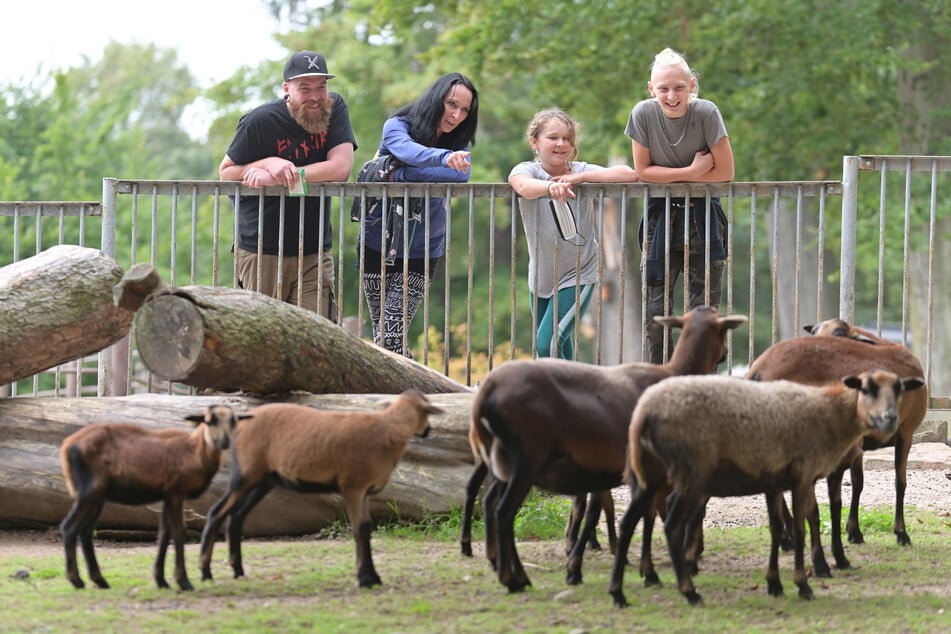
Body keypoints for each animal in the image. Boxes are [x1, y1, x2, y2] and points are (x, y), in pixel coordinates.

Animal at [58, 404, 245, 588]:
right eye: (209, 420)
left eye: (233, 421)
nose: (224, 441)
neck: (195, 453)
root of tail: (67, 446)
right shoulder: (176, 492)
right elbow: (178, 533)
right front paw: (183, 581)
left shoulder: (167, 496)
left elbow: (164, 534)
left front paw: (161, 580)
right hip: (89, 492)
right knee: (69, 527)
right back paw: (76, 580)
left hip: (98, 497)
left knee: (85, 531)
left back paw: (99, 580)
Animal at [199, 386, 444, 588]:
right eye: (427, 412)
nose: (427, 431)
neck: (387, 429)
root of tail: (239, 426)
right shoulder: (353, 488)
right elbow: (360, 530)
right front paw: (365, 579)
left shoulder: (364, 493)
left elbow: (365, 530)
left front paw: (371, 577)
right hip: (245, 474)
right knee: (216, 513)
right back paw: (206, 573)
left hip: (263, 479)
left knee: (236, 517)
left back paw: (238, 571)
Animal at [468, 304, 752, 592]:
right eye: (723, 329)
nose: (724, 354)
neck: (672, 374)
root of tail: (486, 393)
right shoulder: (648, 472)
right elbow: (643, 517)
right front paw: (647, 572)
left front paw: (580, 566)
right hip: (526, 460)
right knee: (504, 512)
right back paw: (513, 578)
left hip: (503, 461)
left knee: (493, 505)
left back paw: (509, 570)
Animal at [608, 370, 928, 608]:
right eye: (867, 388)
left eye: (899, 389)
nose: (890, 419)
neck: (830, 413)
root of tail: (644, 412)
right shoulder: (802, 477)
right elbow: (799, 529)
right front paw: (803, 585)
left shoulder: (774, 482)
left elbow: (776, 530)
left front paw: (774, 584)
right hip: (690, 474)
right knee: (672, 526)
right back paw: (689, 591)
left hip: (649, 475)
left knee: (628, 523)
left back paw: (618, 593)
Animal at [748, 320, 924, 572]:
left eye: (838, 334)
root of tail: (758, 370)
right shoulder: (906, 433)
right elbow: (900, 483)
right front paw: (901, 533)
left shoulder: (860, 445)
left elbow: (858, 483)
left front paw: (854, 532)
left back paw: (787, 538)